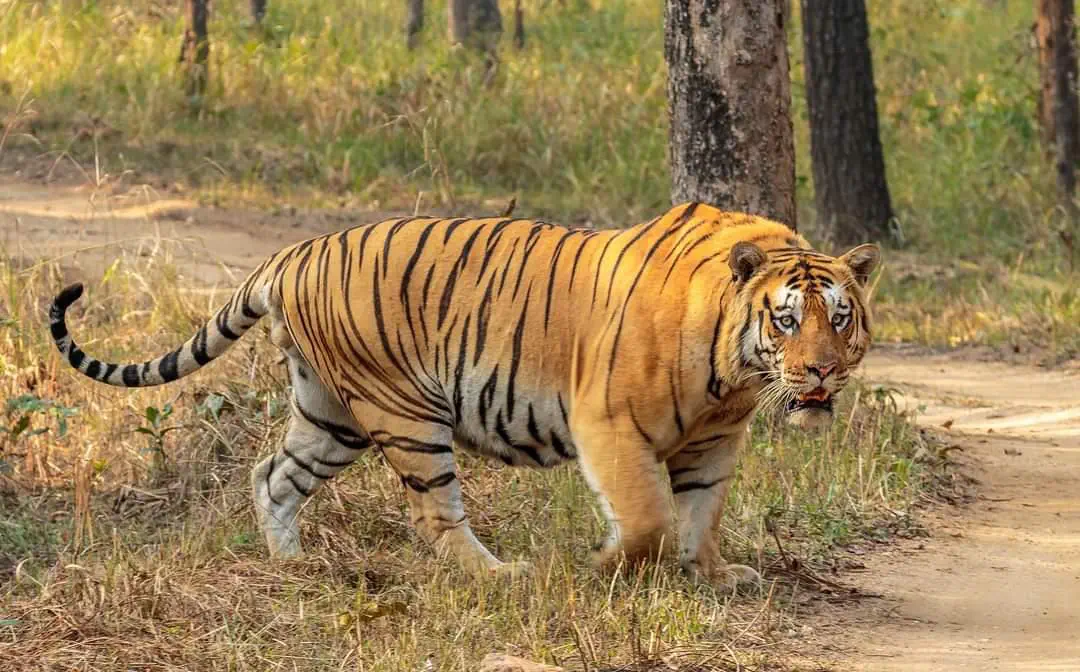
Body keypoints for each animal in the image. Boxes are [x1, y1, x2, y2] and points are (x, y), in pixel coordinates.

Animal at [48, 202, 880, 585]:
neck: (735, 377)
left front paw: (711, 574)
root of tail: (293, 254)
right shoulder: (608, 423)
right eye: (786, 320)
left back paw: (291, 563)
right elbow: (647, 517)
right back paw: (500, 574)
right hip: (405, 414)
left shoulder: (714, 440)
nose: (819, 372)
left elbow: (701, 515)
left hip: (330, 416)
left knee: (272, 476)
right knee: (433, 515)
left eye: (839, 319)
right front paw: (604, 567)